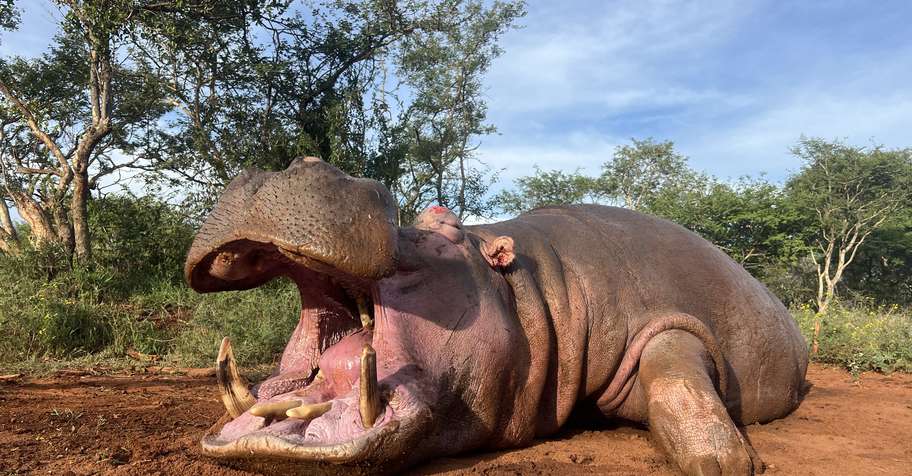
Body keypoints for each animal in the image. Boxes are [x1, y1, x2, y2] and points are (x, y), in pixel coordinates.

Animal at [184, 157, 808, 475]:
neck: (535, 290)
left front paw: (723, 463)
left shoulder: (664, 319)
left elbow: (677, 373)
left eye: (443, 219)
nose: (295, 163)